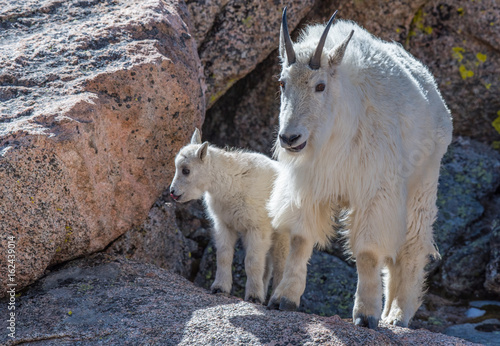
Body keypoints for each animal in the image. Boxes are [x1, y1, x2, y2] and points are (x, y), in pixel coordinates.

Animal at [169, 129, 290, 302]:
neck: (230, 183)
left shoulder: (257, 227)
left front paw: (253, 297)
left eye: (186, 170)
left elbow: (252, 262)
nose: (173, 192)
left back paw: (276, 298)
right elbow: (224, 255)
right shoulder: (224, 224)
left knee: (281, 263)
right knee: (267, 265)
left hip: (283, 232)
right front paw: (220, 287)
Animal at [268, 7, 456, 328]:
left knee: (412, 245)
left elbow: (368, 252)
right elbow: (300, 239)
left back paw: (397, 315)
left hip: (422, 183)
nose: (290, 138)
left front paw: (366, 315)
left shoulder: (376, 191)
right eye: (282, 83)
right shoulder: (307, 186)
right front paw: (284, 299)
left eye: (320, 86)